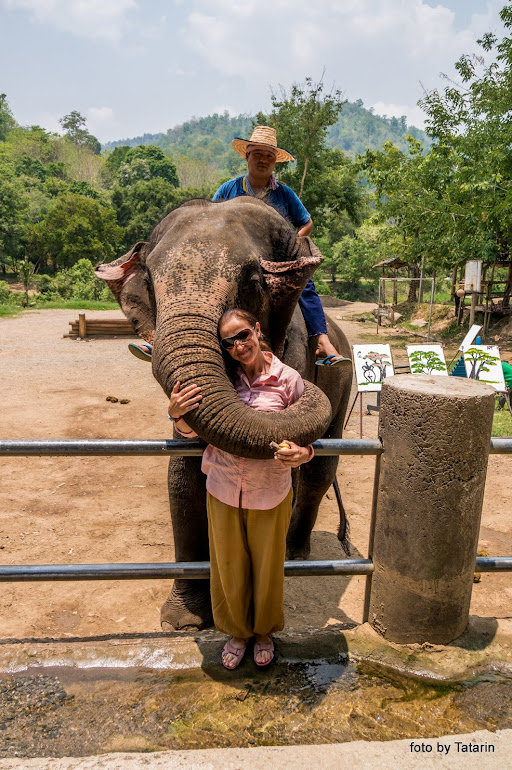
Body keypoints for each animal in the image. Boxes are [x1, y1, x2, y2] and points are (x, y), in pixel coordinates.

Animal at [95, 196, 352, 632]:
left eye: (251, 282)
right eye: (151, 284)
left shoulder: (295, 346)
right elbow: (182, 473)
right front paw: (183, 622)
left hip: (343, 381)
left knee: (320, 467)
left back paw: (293, 552)